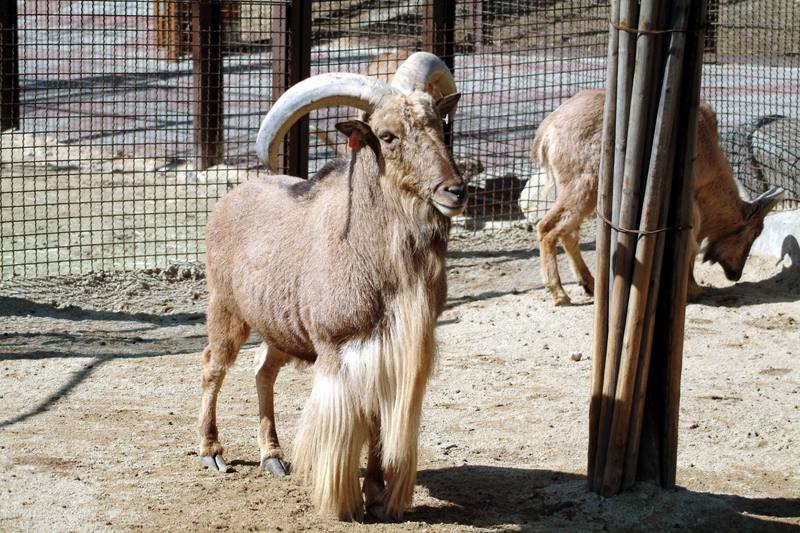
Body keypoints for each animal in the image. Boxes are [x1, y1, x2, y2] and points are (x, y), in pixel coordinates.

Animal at [196, 51, 466, 520]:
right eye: (387, 136)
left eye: (438, 124)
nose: (454, 190)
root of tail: (228, 199)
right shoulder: (338, 348)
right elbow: (349, 423)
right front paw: (343, 503)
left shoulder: (389, 353)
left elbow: (376, 420)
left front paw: (377, 491)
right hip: (226, 310)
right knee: (214, 366)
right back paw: (212, 450)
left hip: (280, 331)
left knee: (262, 372)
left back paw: (272, 456)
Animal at [528, 87, 784, 304]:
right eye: (754, 233)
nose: (736, 273)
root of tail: (547, 131)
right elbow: (689, 246)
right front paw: (692, 290)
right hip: (582, 187)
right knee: (548, 227)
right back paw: (559, 293)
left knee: (568, 233)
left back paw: (589, 284)